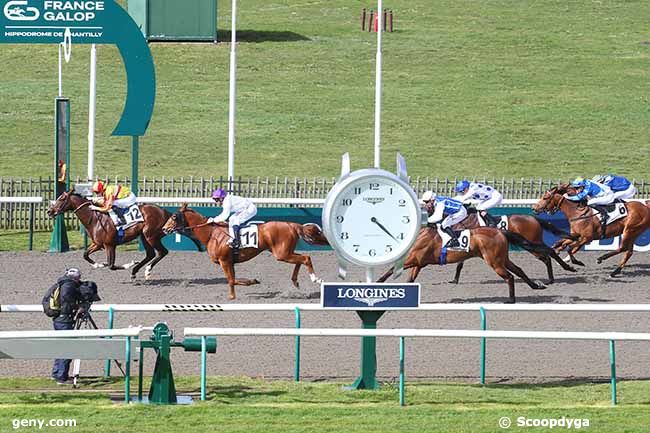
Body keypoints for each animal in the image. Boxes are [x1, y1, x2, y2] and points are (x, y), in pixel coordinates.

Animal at [46, 190, 192, 278]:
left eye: (62, 198)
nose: (49, 211)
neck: (94, 218)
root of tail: (166, 213)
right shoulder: (98, 244)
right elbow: (85, 255)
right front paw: (98, 264)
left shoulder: (109, 245)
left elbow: (111, 265)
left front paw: (129, 264)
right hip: (144, 236)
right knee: (151, 254)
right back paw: (135, 271)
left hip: (150, 235)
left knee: (162, 252)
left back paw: (147, 270)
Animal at [159, 203, 326, 298]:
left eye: (174, 217)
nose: (164, 229)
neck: (212, 234)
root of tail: (292, 224)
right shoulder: (229, 261)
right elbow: (232, 279)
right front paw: (250, 283)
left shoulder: (224, 261)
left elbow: (231, 280)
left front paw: (234, 295)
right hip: (285, 252)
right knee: (301, 259)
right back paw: (295, 281)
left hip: (282, 254)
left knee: (305, 258)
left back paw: (315, 279)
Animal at [374, 224, 548, 302]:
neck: (420, 234)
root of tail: (500, 231)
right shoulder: (419, 264)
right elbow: (410, 280)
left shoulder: (413, 260)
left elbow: (391, 270)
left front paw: (377, 282)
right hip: (502, 258)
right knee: (519, 270)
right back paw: (536, 286)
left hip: (494, 261)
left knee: (509, 277)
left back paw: (511, 299)